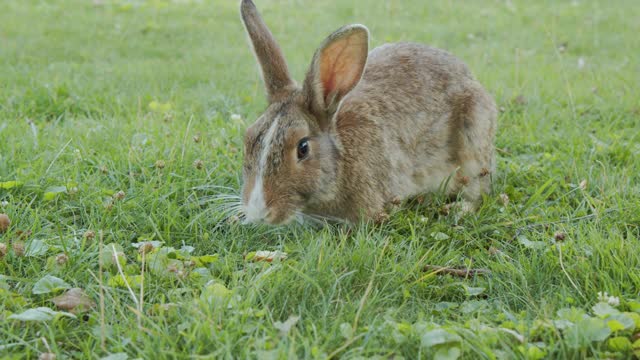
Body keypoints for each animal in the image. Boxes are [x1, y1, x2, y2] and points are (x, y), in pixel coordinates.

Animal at [239, 0, 496, 225]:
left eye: (303, 148)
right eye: (248, 138)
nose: (258, 213)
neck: (341, 160)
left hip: (473, 142)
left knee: (478, 190)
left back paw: (459, 209)